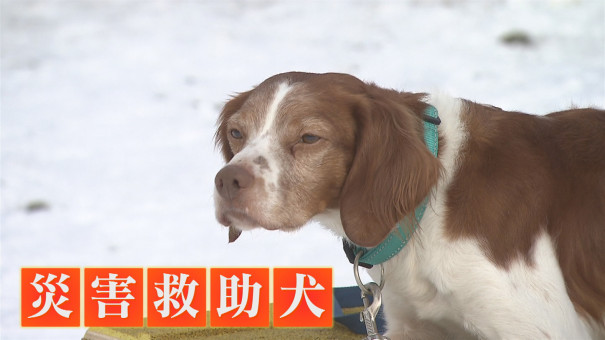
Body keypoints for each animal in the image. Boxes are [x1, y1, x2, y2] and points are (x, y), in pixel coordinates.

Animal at [214, 71, 604, 338]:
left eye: (309, 137)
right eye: (237, 133)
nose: (226, 181)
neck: (428, 207)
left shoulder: (536, 327)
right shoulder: (414, 325)